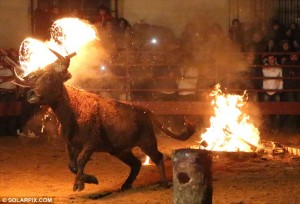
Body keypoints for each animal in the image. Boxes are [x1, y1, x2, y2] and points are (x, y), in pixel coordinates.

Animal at [12, 51, 196, 192]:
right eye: (35, 79)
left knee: (157, 157)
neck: (73, 111)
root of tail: (145, 110)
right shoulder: (69, 144)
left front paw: (80, 184)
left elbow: (80, 161)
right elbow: (72, 165)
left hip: (147, 141)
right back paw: (126, 185)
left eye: (51, 79)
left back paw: (164, 182)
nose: (31, 94)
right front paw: (89, 179)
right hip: (120, 150)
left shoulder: (91, 143)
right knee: (136, 163)